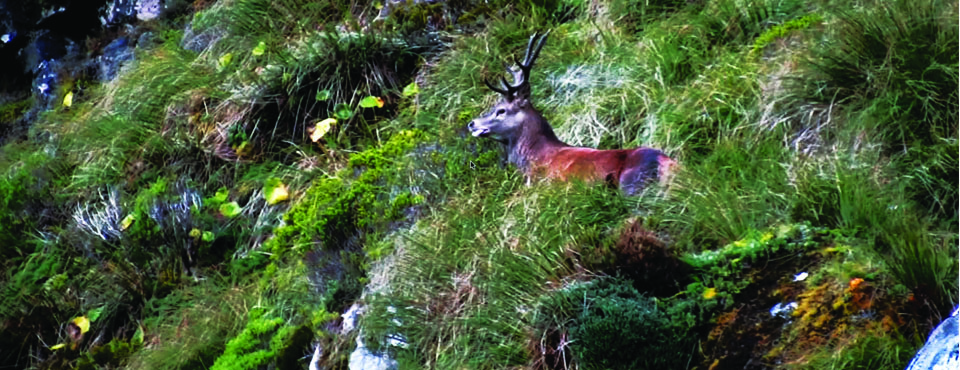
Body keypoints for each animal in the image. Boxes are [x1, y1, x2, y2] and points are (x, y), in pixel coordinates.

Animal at [464, 31, 676, 197]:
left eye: (501, 110)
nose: (472, 123)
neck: (533, 156)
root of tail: (666, 162)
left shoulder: (541, 185)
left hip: (631, 184)